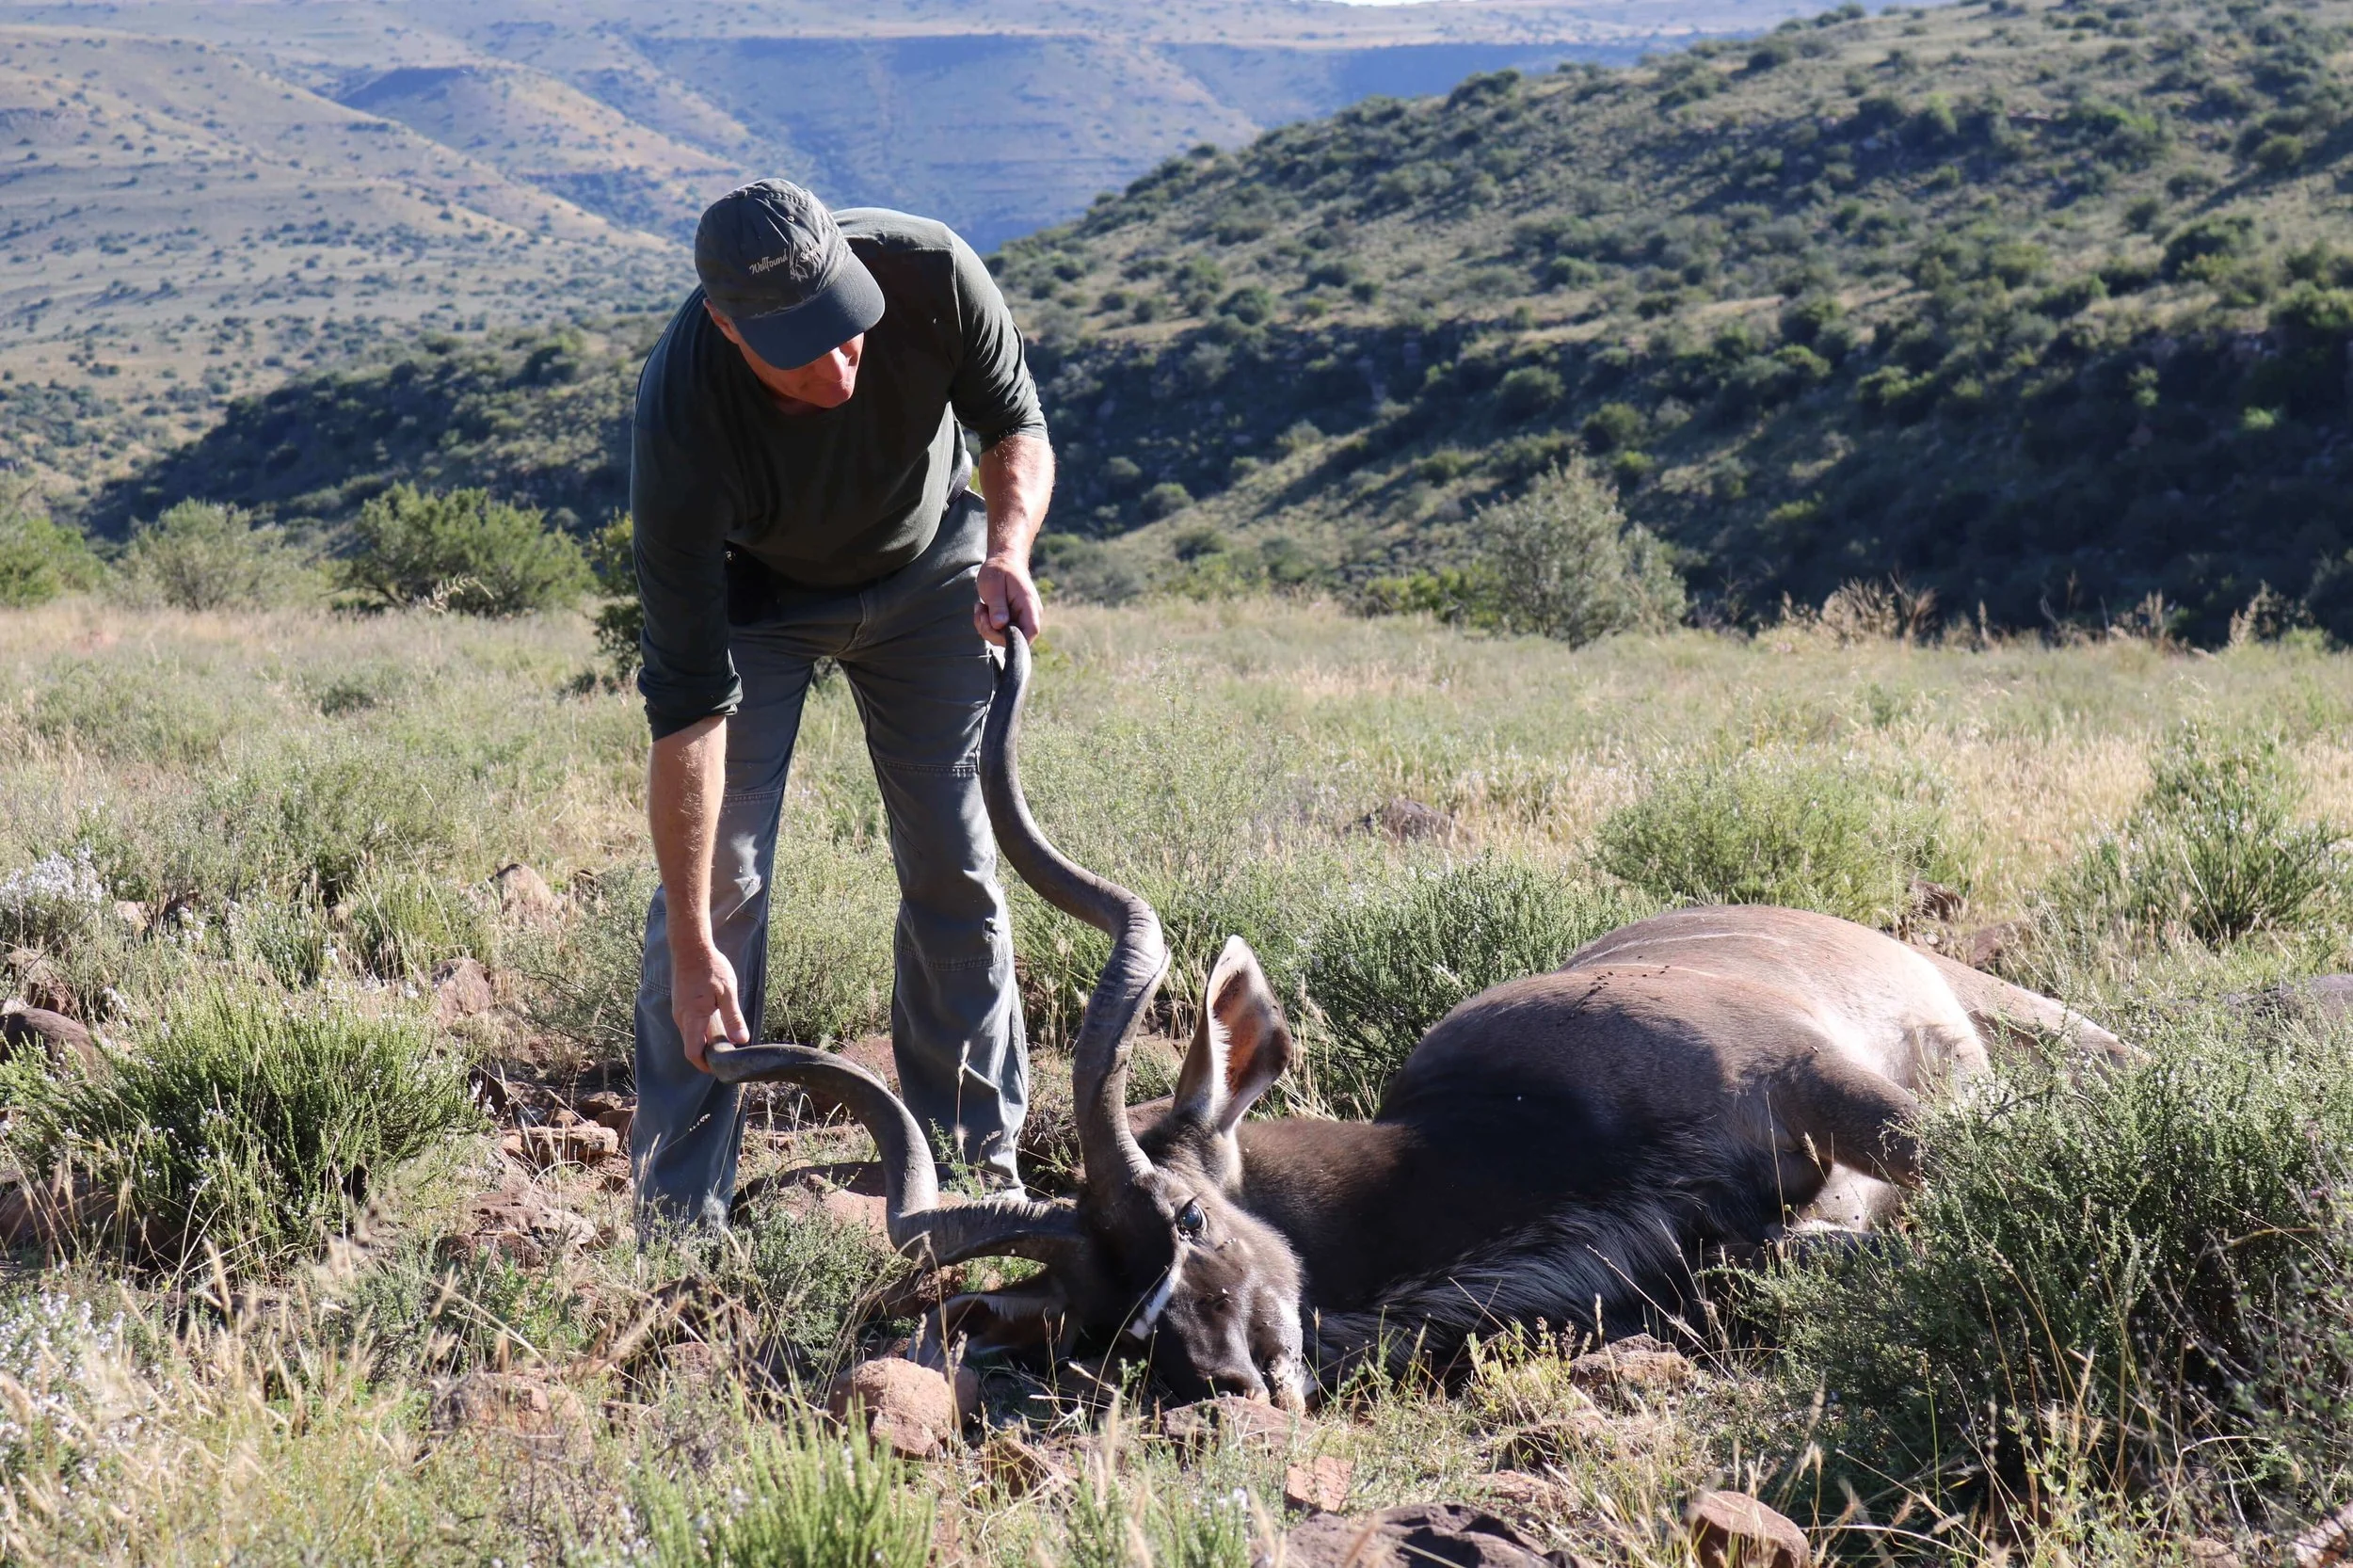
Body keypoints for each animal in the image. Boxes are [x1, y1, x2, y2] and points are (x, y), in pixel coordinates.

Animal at [707, 631, 2128, 1408]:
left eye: (1185, 1216)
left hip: (2005, 1020)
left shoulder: (1815, 1080)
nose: (1226, 1379)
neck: (1512, 1130)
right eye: (1097, 1319)